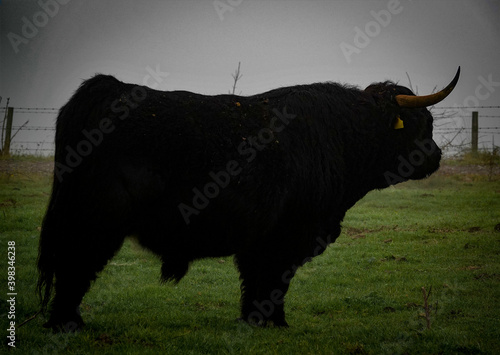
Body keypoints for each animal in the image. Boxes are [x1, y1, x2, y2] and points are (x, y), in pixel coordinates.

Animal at [39, 67, 460, 330]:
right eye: (423, 124)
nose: (437, 156)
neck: (340, 136)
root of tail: (104, 87)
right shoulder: (289, 235)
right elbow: (274, 281)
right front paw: (276, 323)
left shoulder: (259, 238)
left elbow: (256, 283)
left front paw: (254, 321)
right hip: (96, 217)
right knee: (74, 264)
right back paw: (67, 324)